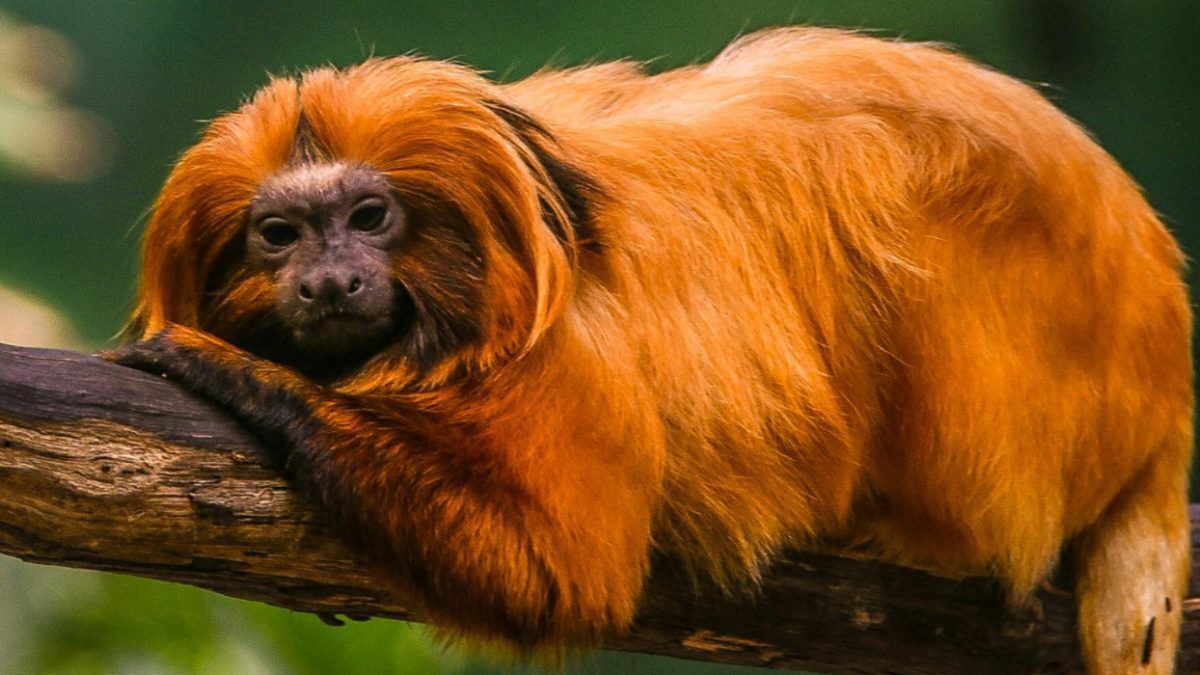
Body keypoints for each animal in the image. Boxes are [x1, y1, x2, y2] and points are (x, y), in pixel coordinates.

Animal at [109, 27, 1192, 673]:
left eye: (369, 218)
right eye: (279, 236)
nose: (331, 281)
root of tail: (1163, 364)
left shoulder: (570, 351)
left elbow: (562, 570)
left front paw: (230, 369)